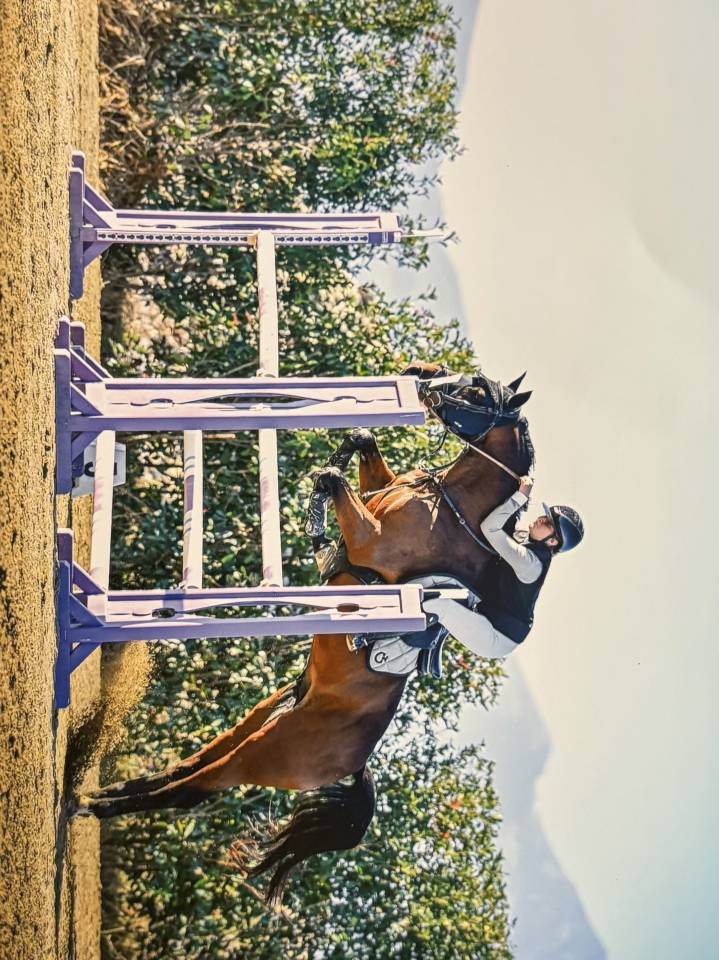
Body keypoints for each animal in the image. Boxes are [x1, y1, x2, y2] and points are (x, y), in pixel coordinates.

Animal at [74, 361, 535, 902]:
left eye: (478, 392)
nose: (424, 380)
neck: (452, 505)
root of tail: (355, 764)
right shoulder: (380, 493)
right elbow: (361, 450)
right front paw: (343, 454)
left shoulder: (370, 537)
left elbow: (336, 483)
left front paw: (318, 510)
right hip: (267, 718)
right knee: (197, 763)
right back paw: (109, 791)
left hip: (266, 755)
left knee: (194, 789)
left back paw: (97, 805)